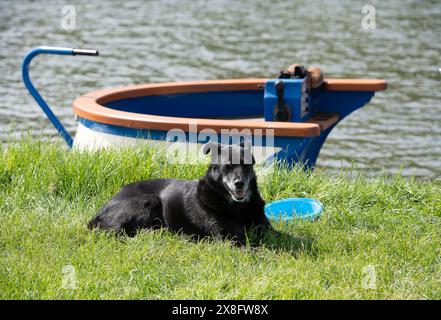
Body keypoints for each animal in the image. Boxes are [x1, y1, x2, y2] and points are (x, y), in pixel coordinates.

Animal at [87, 141, 270, 244]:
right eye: (227, 166)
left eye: (246, 165)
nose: (239, 183)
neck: (237, 208)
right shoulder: (231, 240)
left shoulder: (265, 229)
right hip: (149, 201)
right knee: (115, 231)